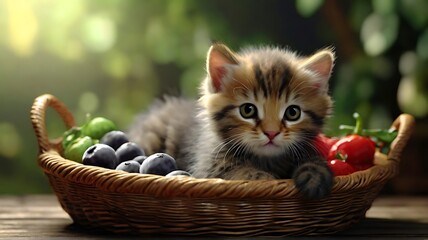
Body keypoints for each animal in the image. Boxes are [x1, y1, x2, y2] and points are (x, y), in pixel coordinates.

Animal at [127, 42, 334, 199]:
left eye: (292, 113)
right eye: (248, 110)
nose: (271, 133)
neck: (265, 160)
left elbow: (314, 161)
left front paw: (314, 175)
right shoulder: (208, 164)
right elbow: (236, 172)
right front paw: (261, 178)